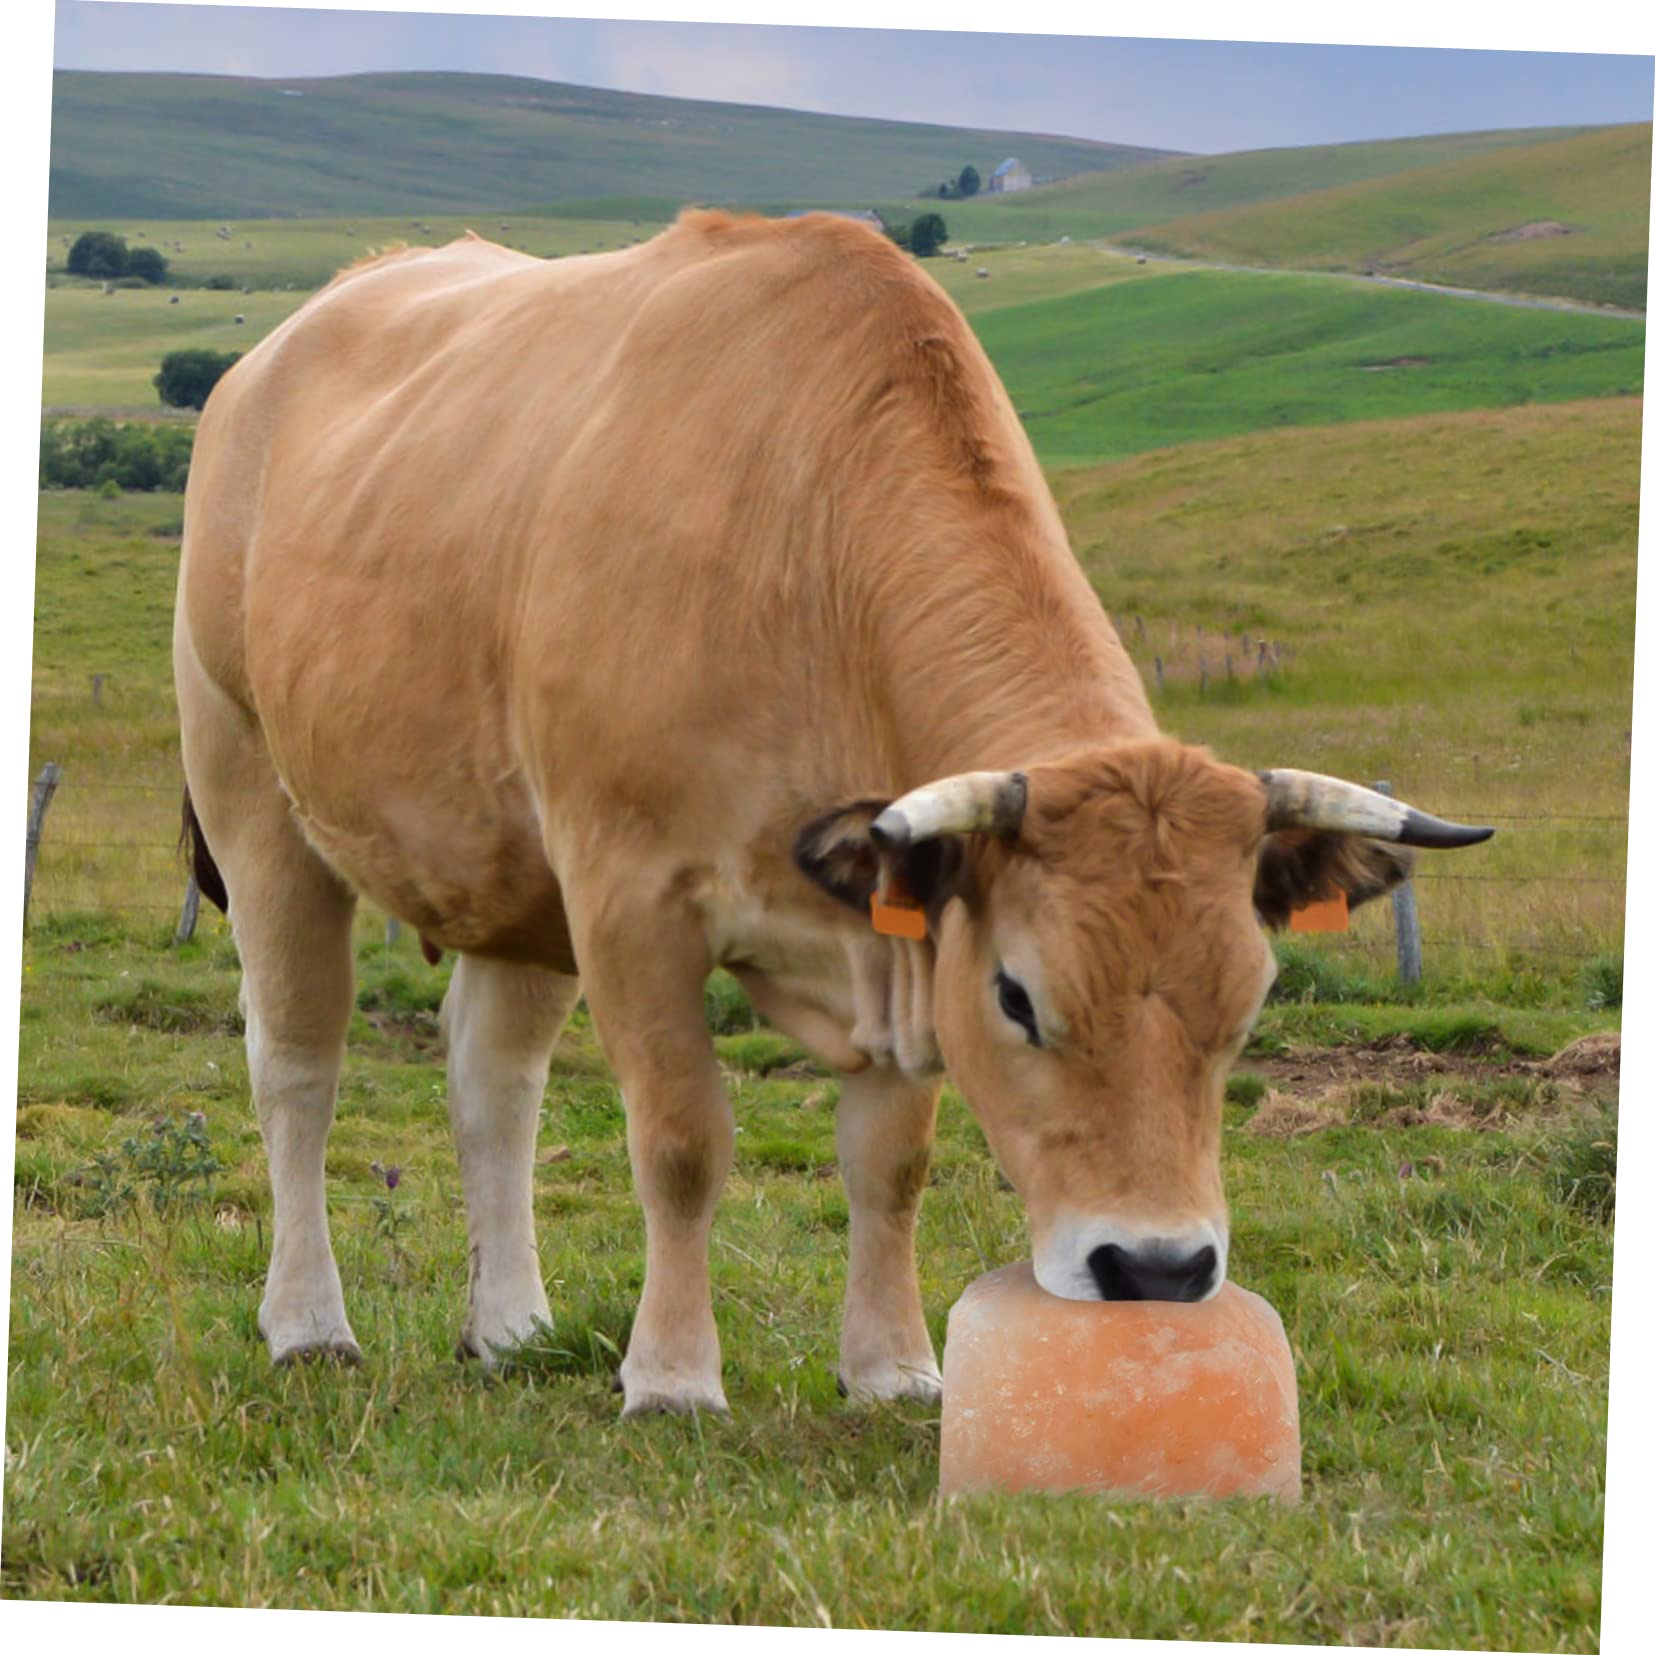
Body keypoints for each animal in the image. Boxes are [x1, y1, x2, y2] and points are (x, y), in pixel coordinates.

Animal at [174, 211, 1491, 1416]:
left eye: (1248, 1003)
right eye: (1019, 996)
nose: (1156, 1269)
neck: (804, 555)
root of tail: (292, 333)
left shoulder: (896, 920)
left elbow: (889, 1164)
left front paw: (892, 1368)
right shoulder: (628, 896)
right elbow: (681, 1143)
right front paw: (671, 1377)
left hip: (509, 874)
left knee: (491, 1079)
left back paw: (508, 1326)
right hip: (257, 797)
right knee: (297, 1062)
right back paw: (308, 1323)